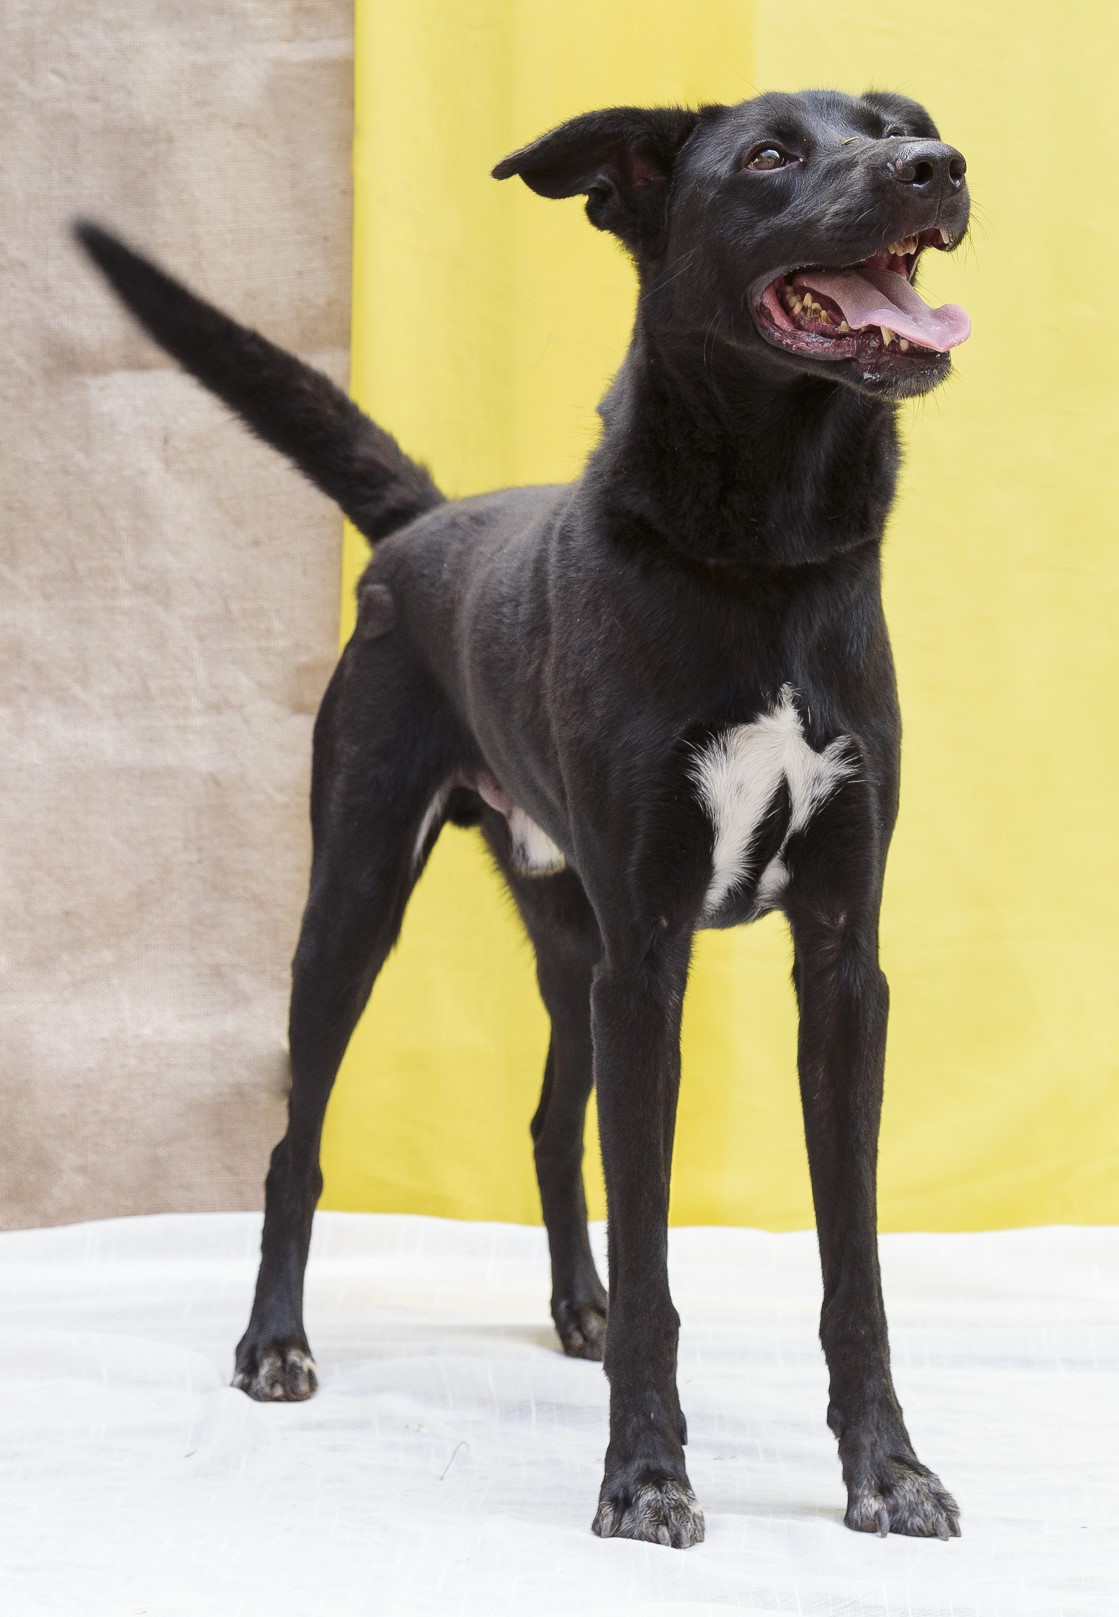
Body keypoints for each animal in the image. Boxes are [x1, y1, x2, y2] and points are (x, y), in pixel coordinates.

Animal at [77, 85, 971, 1549]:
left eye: (894, 122)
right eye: (769, 154)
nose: (936, 169)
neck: (765, 557)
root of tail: (422, 526)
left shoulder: (839, 962)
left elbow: (855, 1262)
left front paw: (885, 1469)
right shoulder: (649, 957)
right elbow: (660, 1250)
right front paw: (647, 1475)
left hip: (569, 941)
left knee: (556, 1126)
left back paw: (576, 1309)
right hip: (359, 898)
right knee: (293, 1143)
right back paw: (275, 1343)